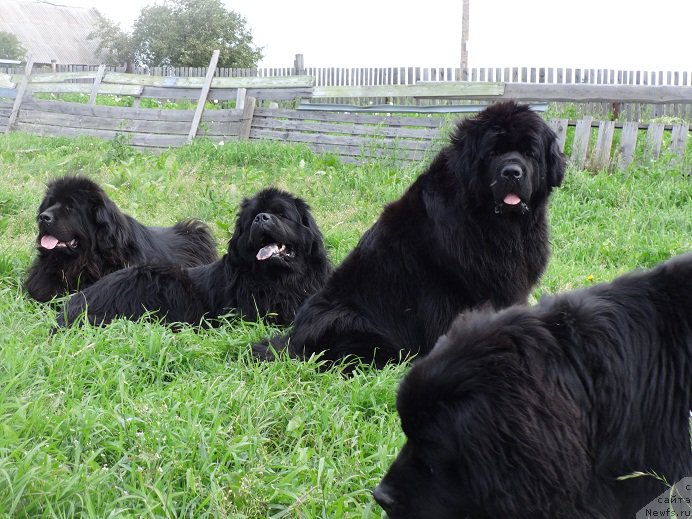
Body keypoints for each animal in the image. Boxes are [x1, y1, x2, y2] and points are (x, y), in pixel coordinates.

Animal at [255, 101, 568, 368]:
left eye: (529, 153)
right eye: (493, 152)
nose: (511, 172)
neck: (498, 224)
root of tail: (293, 339)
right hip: (346, 317)